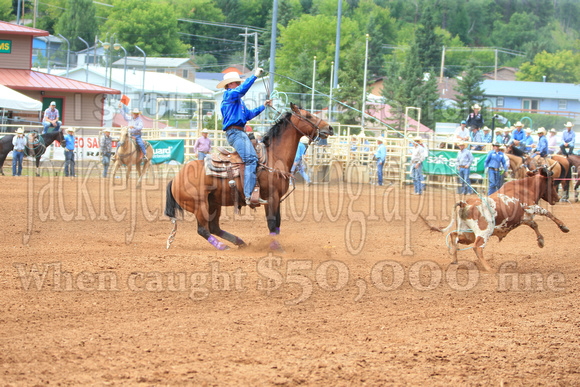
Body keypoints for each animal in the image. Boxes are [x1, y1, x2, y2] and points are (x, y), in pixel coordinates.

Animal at [165, 103, 334, 250]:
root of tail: (175, 179)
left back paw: (240, 242)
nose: (330, 127)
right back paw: (223, 246)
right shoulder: (271, 197)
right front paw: (276, 247)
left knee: (214, 227)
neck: (273, 156)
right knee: (202, 229)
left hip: (213, 203)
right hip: (199, 205)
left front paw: (274, 244)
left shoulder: (277, 198)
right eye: (308, 115)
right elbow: (272, 224)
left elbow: (277, 224)